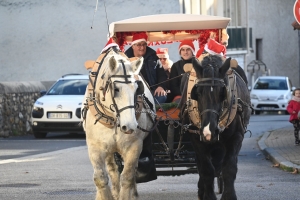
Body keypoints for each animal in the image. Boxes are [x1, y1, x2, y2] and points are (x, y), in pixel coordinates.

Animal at [82, 47, 157, 200]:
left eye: (137, 89)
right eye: (115, 89)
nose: (130, 126)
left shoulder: (134, 146)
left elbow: (127, 177)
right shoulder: (95, 147)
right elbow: (100, 178)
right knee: (112, 169)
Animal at [180, 55, 251, 200]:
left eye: (222, 93)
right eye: (198, 92)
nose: (209, 131)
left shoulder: (236, 137)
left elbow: (229, 167)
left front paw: (229, 195)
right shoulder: (197, 139)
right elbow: (207, 169)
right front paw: (208, 195)